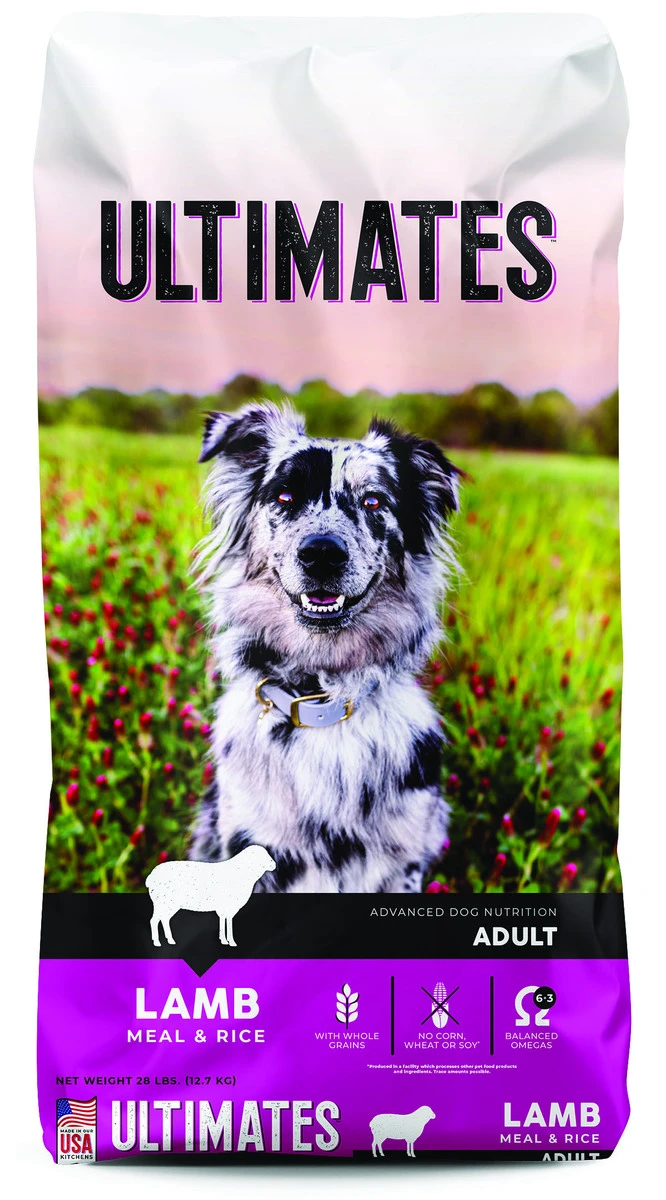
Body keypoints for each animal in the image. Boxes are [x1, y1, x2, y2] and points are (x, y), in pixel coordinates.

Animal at [145, 845, 276, 948]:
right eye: (260, 855)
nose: (274, 864)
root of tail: (150, 877)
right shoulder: (228, 908)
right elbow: (228, 923)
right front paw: (231, 942)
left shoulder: (223, 909)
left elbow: (223, 921)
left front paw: (223, 940)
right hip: (163, 903)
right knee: (154, 920)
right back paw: (157, 942)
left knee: (164, 919)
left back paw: (170, 941)